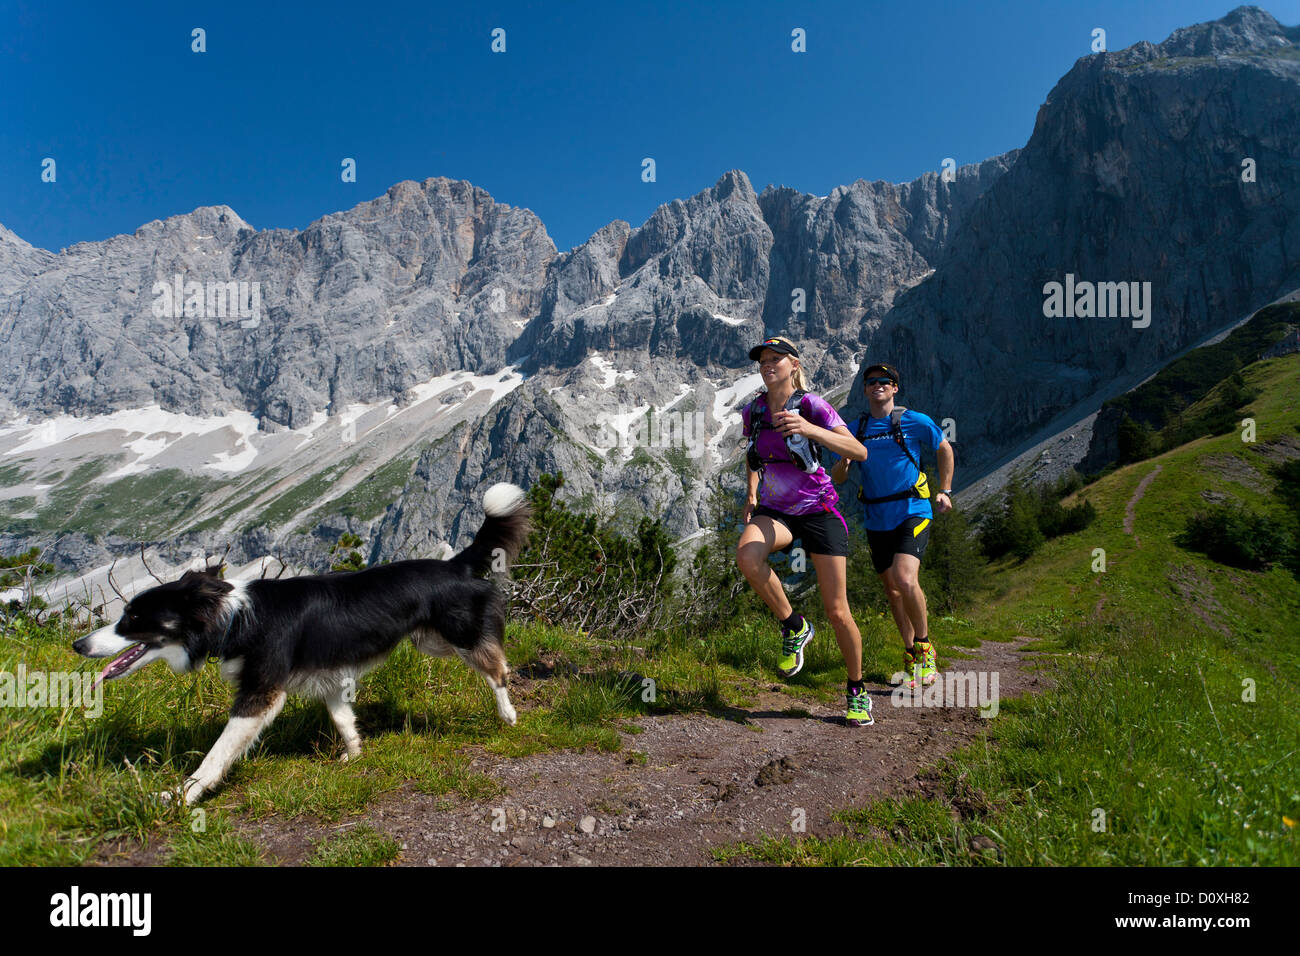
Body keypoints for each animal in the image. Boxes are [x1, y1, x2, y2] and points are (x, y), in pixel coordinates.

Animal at [74, 481, 533, 806]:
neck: (233, 618)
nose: (79, 645)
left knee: (498, 667)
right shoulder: (329, 676)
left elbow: (217, 754)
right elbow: (343, 720)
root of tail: (454, 564)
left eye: (133, 618)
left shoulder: (261, 693)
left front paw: (181, 796)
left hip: (458, 636)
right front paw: (354, 755)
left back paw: (508, 715)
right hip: (428, 641)